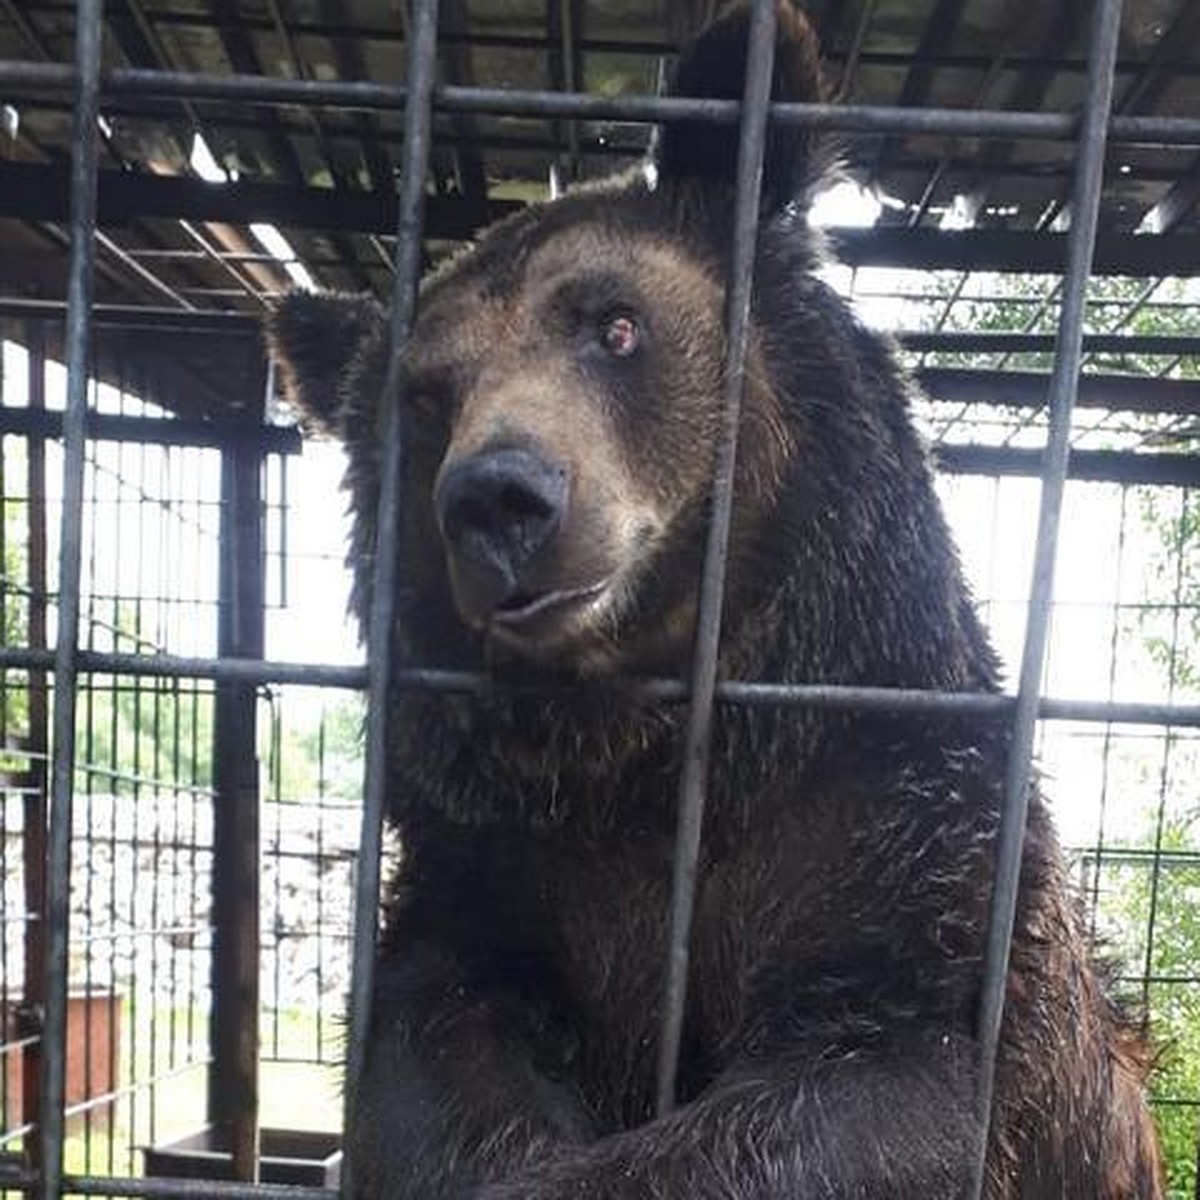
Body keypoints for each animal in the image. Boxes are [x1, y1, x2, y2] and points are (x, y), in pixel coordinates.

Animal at [265, 4, 1161, 1195]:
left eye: (615, 324)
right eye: (425, 397)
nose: (499, 499)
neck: (656, 761)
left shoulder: (911, 849)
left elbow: (890, 1085)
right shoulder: (496, 869)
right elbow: (432, 1052)